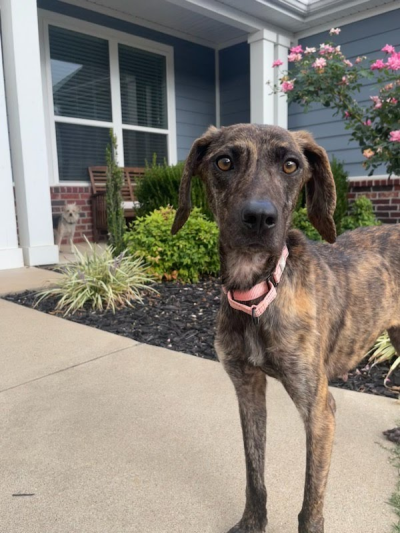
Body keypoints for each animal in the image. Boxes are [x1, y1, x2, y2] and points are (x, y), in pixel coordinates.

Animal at [170, 123, 400, 532]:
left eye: (291, 165)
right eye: (224, 161)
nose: (260, 218)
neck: (259, 294)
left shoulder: (320, 410)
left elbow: (311, 502)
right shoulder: (247, 388)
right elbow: (254, 473)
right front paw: (252, 522)